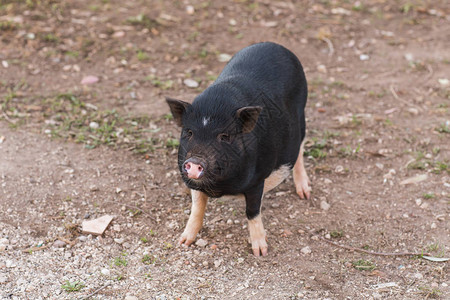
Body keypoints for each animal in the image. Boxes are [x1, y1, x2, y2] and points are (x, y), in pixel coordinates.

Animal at [167, 41, 312, 255]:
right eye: (189, 132)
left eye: (224, 136)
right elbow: (197, 208)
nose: (194, 161)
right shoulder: (193, 183)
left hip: (301, 116)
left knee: (300, 148)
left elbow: (252, 211)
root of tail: (276, 45)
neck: (219, 187)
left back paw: (305, 194)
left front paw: (260, 252)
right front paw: (183, 242)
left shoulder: (257, 179)